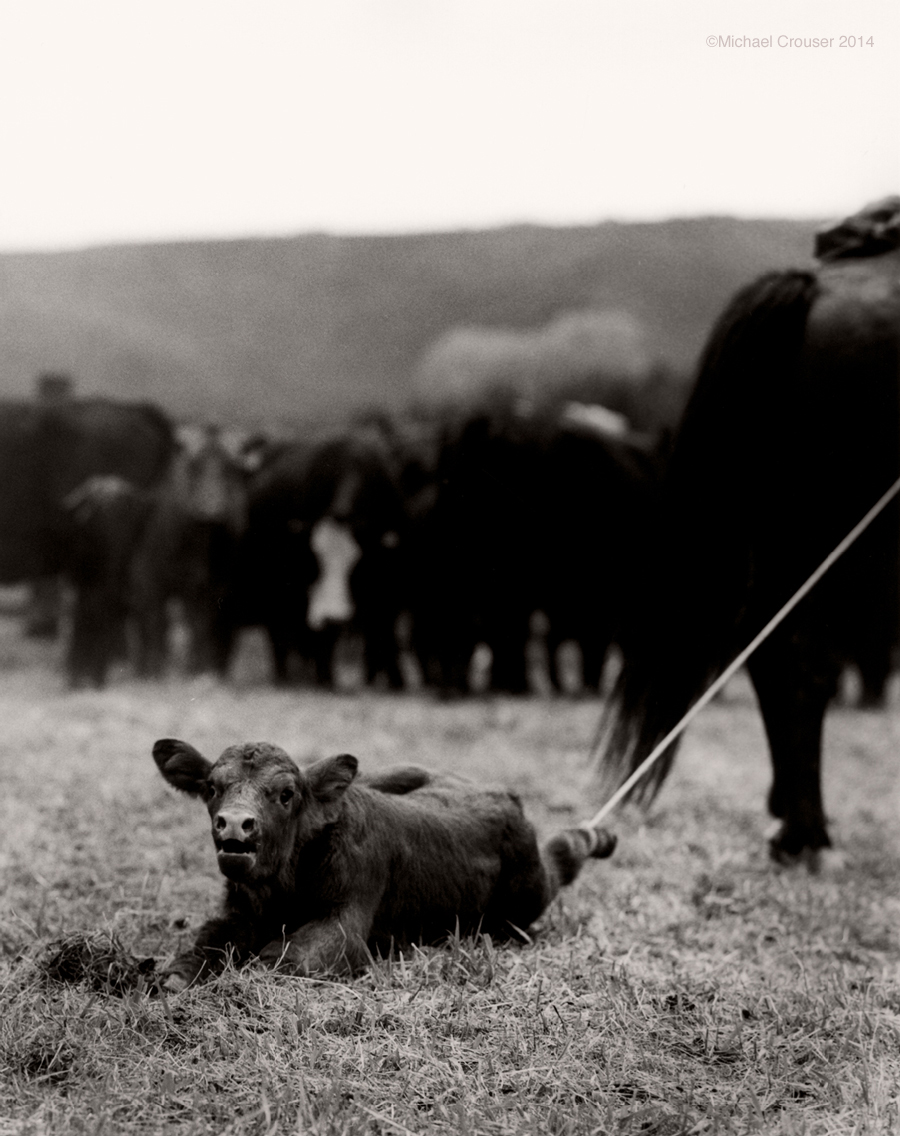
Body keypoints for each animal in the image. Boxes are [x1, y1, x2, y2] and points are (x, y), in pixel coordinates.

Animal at [152, 738, 617, 987]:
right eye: (212, 787)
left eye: (286, 794)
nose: (234, 823)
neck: (283, 885)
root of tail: (497, 791)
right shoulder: (241, 910)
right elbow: (207, 940)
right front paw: (174, 976)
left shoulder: (346, 921)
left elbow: (288, 957)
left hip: (527, 891)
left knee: (560, 859)